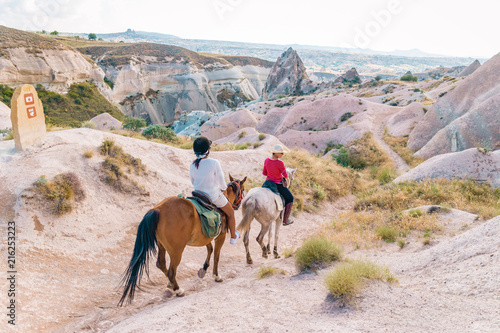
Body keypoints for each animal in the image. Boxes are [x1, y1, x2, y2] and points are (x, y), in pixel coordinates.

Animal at [119, 175, 248, 304]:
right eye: (243, 189)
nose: (238, 205)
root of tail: (158, 209)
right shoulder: (220, 237)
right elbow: (216, 256)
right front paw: (216, 276)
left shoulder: (205, 237)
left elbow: (209, 249)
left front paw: (204, 268)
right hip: (176, 251)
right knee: (171, 271)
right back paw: (178, 290)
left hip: (162, 245)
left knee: (161, 264)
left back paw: (170, 285)